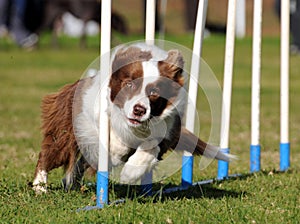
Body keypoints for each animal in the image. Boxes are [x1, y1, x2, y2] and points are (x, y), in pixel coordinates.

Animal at [32, 43, 234, 192]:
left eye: (154, 92)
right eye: (128, 84)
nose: (139, 110)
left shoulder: (167, 132)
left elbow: (150, 147)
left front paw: (130, 173)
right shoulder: (92, 116)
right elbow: (111, 136)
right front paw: (117, 151)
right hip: (66, 131)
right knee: (49, 154)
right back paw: (40, 187)